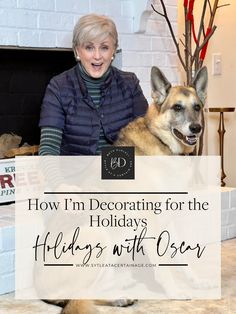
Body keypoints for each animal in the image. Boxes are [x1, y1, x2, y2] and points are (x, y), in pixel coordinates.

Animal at [43, 65, 206, 314]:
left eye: (197, 107)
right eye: (177, 107)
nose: (196, 128)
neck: (160, 141)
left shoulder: (167, 218)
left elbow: (179, 255)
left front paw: (194, 280)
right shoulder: (151, 222)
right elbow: (164, 266)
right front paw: (175, 291)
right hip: (99, 235)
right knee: (78, 297)